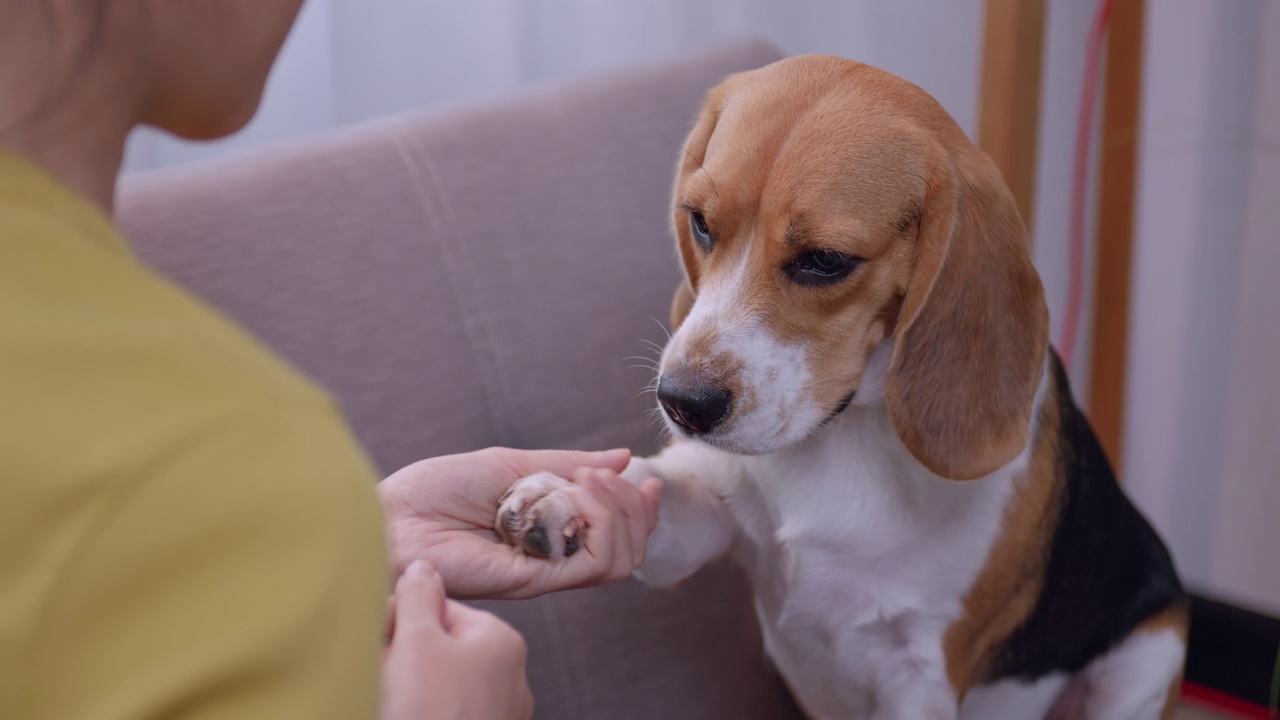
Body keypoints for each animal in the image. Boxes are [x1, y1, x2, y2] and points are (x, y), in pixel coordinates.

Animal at [494, 56, 1182, 717]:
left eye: (825, 261)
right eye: (701, 223)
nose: (683, 404)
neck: (844, 434)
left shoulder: (919, 675)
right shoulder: (704, 522)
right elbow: (654, 484)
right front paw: (570, 496)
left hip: (1152, 650)